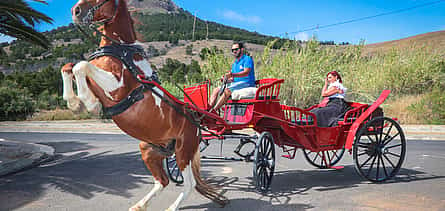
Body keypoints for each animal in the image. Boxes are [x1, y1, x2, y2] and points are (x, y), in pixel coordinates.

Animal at [62, 0, 227, 211]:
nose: (75, 11)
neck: (121, 52)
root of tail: (196, 121)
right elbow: (68, 67)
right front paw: (76, 103)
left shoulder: (118, 87)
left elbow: (81, 66)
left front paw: (89, 105)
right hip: (150, 150)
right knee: (162, 181)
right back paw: (140, 205)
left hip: (183, 153)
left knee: (189, 184)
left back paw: (172, 207)